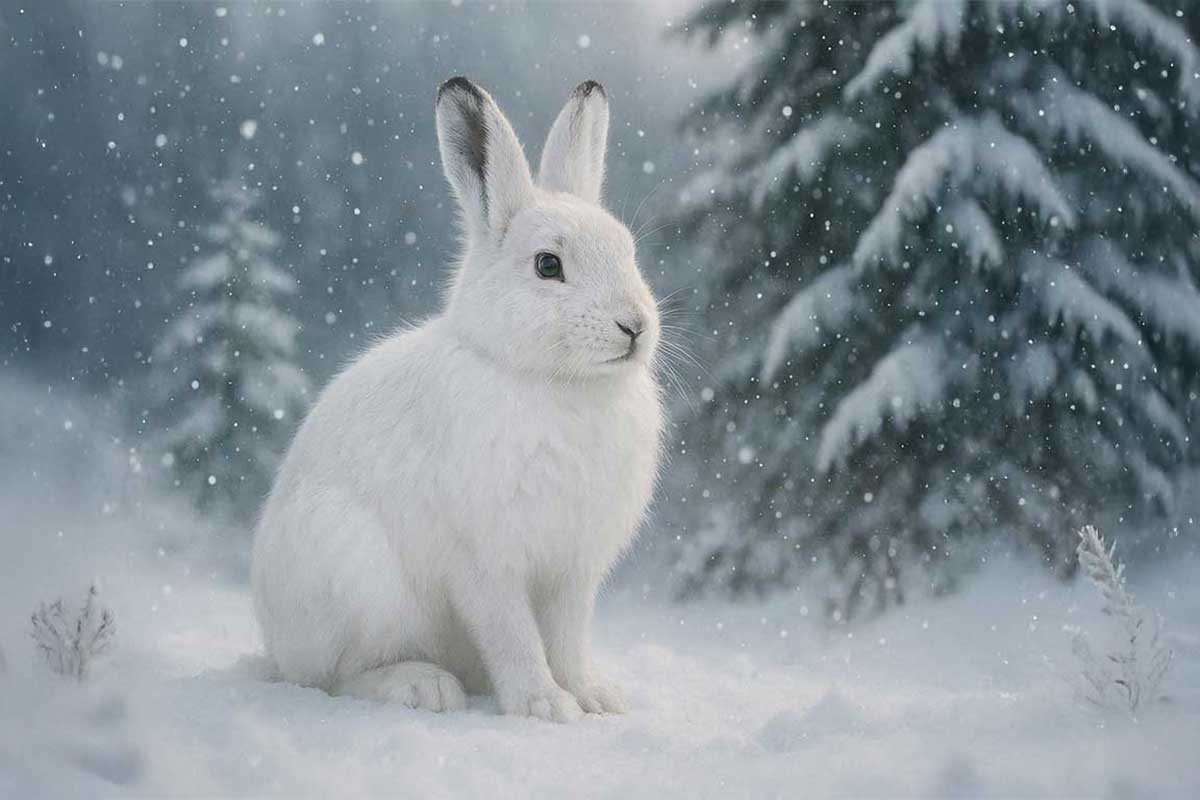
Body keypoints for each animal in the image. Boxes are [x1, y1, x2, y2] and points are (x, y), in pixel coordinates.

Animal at [251, 77, 663, 723]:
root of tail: (273, 641)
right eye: (548, 265)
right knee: (334, 677)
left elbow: (568, 638)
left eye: (628, 252)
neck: (552, 381)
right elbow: (513, 634)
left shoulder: (572, 571)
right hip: (352, 571)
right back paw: (422, 686)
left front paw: (596, 698)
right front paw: (545, 705)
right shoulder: (486, 560)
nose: (635, 326)